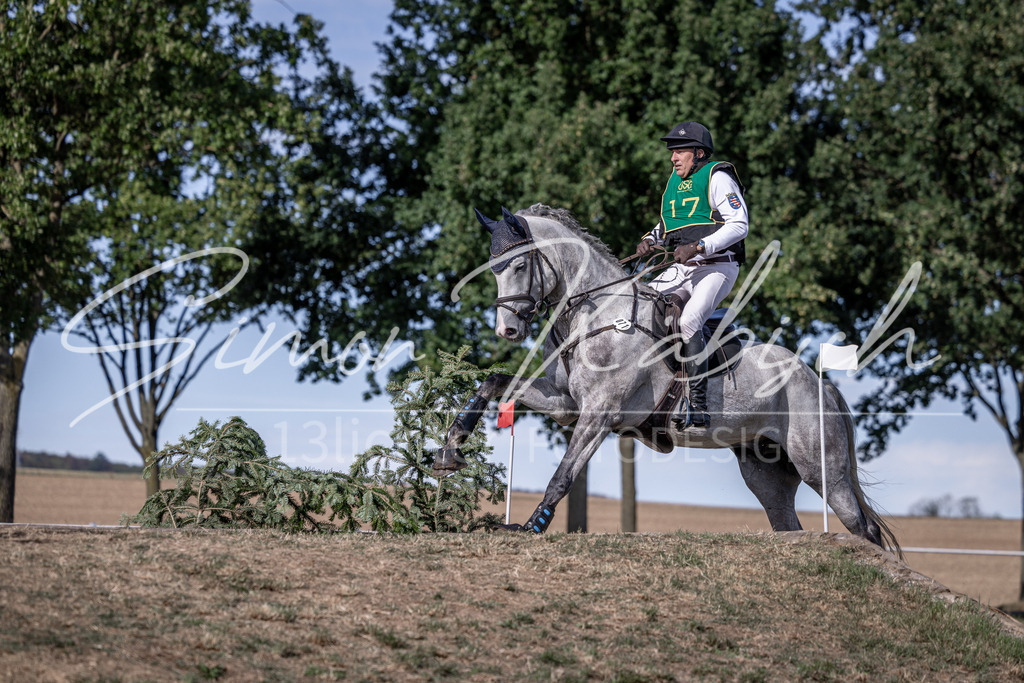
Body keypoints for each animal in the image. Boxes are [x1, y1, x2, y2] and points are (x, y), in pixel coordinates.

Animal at [436, 204, 898, 553]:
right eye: (493, 268)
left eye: (518, 264)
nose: (508, 330)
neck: (596, 313)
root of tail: (820, 383)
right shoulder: (567, 404)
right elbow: (494, 382)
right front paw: (450, 450)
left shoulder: (599, 413)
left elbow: (563, 475)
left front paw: (532, 526)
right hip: (766, 473)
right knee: (789, 523)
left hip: (823, 469)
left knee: (863, 527)